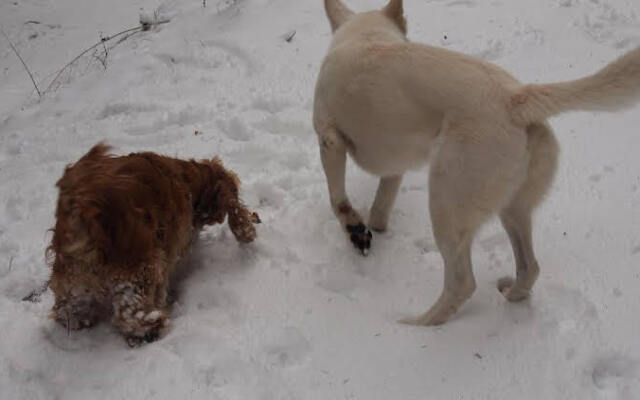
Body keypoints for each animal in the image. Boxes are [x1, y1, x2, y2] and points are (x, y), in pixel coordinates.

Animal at [47, 143, 260, 344]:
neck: (188, 180)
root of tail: (84, 207)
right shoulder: (164, 258)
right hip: (140, 269)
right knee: (131, 314)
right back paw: (152, 327)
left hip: (71, 278)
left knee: (66, 308)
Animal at [314, 0, 640, 324]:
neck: (366, 35)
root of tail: (515, 99)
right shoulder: (394, 165)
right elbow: (382, 203)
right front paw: (375, 227)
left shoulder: (329, 140)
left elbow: (338, 199)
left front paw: (356, 231)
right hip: (512, 207)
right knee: (530, 267)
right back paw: (512, 294)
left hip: (447, 202)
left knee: (462, 283)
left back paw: (419, 324)